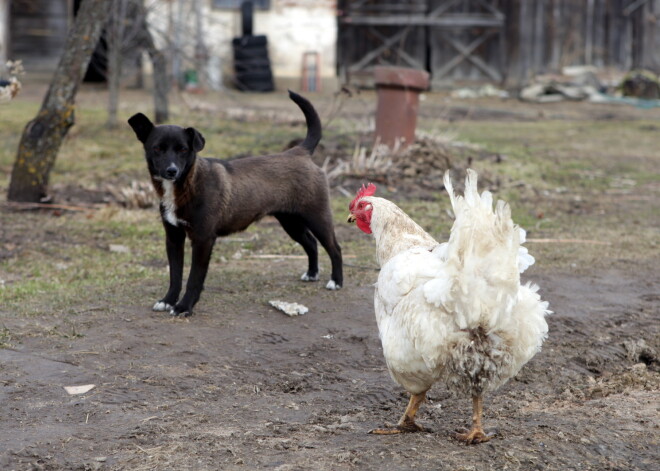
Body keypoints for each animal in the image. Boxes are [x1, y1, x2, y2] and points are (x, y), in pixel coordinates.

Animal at [130, 91, 346, 318]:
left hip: (318, 218)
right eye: (157, 148)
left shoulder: (203, 240)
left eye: (182, 149)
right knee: (311, 243)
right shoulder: (173, 238)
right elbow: (175, 275)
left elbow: (194, 279)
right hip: (291, 222)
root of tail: (299, 151)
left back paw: (336, 281)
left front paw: (184, 306)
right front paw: (168, 300)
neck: (187, 185)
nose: (172, 171)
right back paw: (312, 274)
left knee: (335, 248)